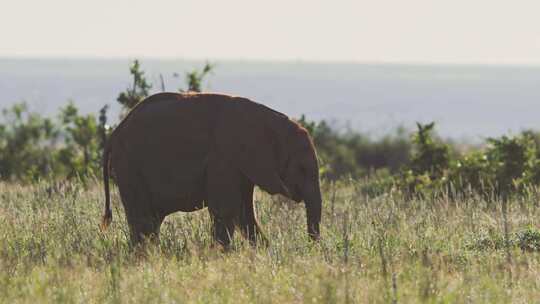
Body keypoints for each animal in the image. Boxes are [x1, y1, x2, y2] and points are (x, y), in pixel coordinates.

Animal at [100, 92, 320, 247]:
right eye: (301, 169)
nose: (310, 247)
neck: (271, 121)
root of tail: (115, 132)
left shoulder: (242, 166)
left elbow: (245, 213)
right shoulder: (224, 158)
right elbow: (226, 210)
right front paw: (222, 254)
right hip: (129, 166)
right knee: (143, 219)